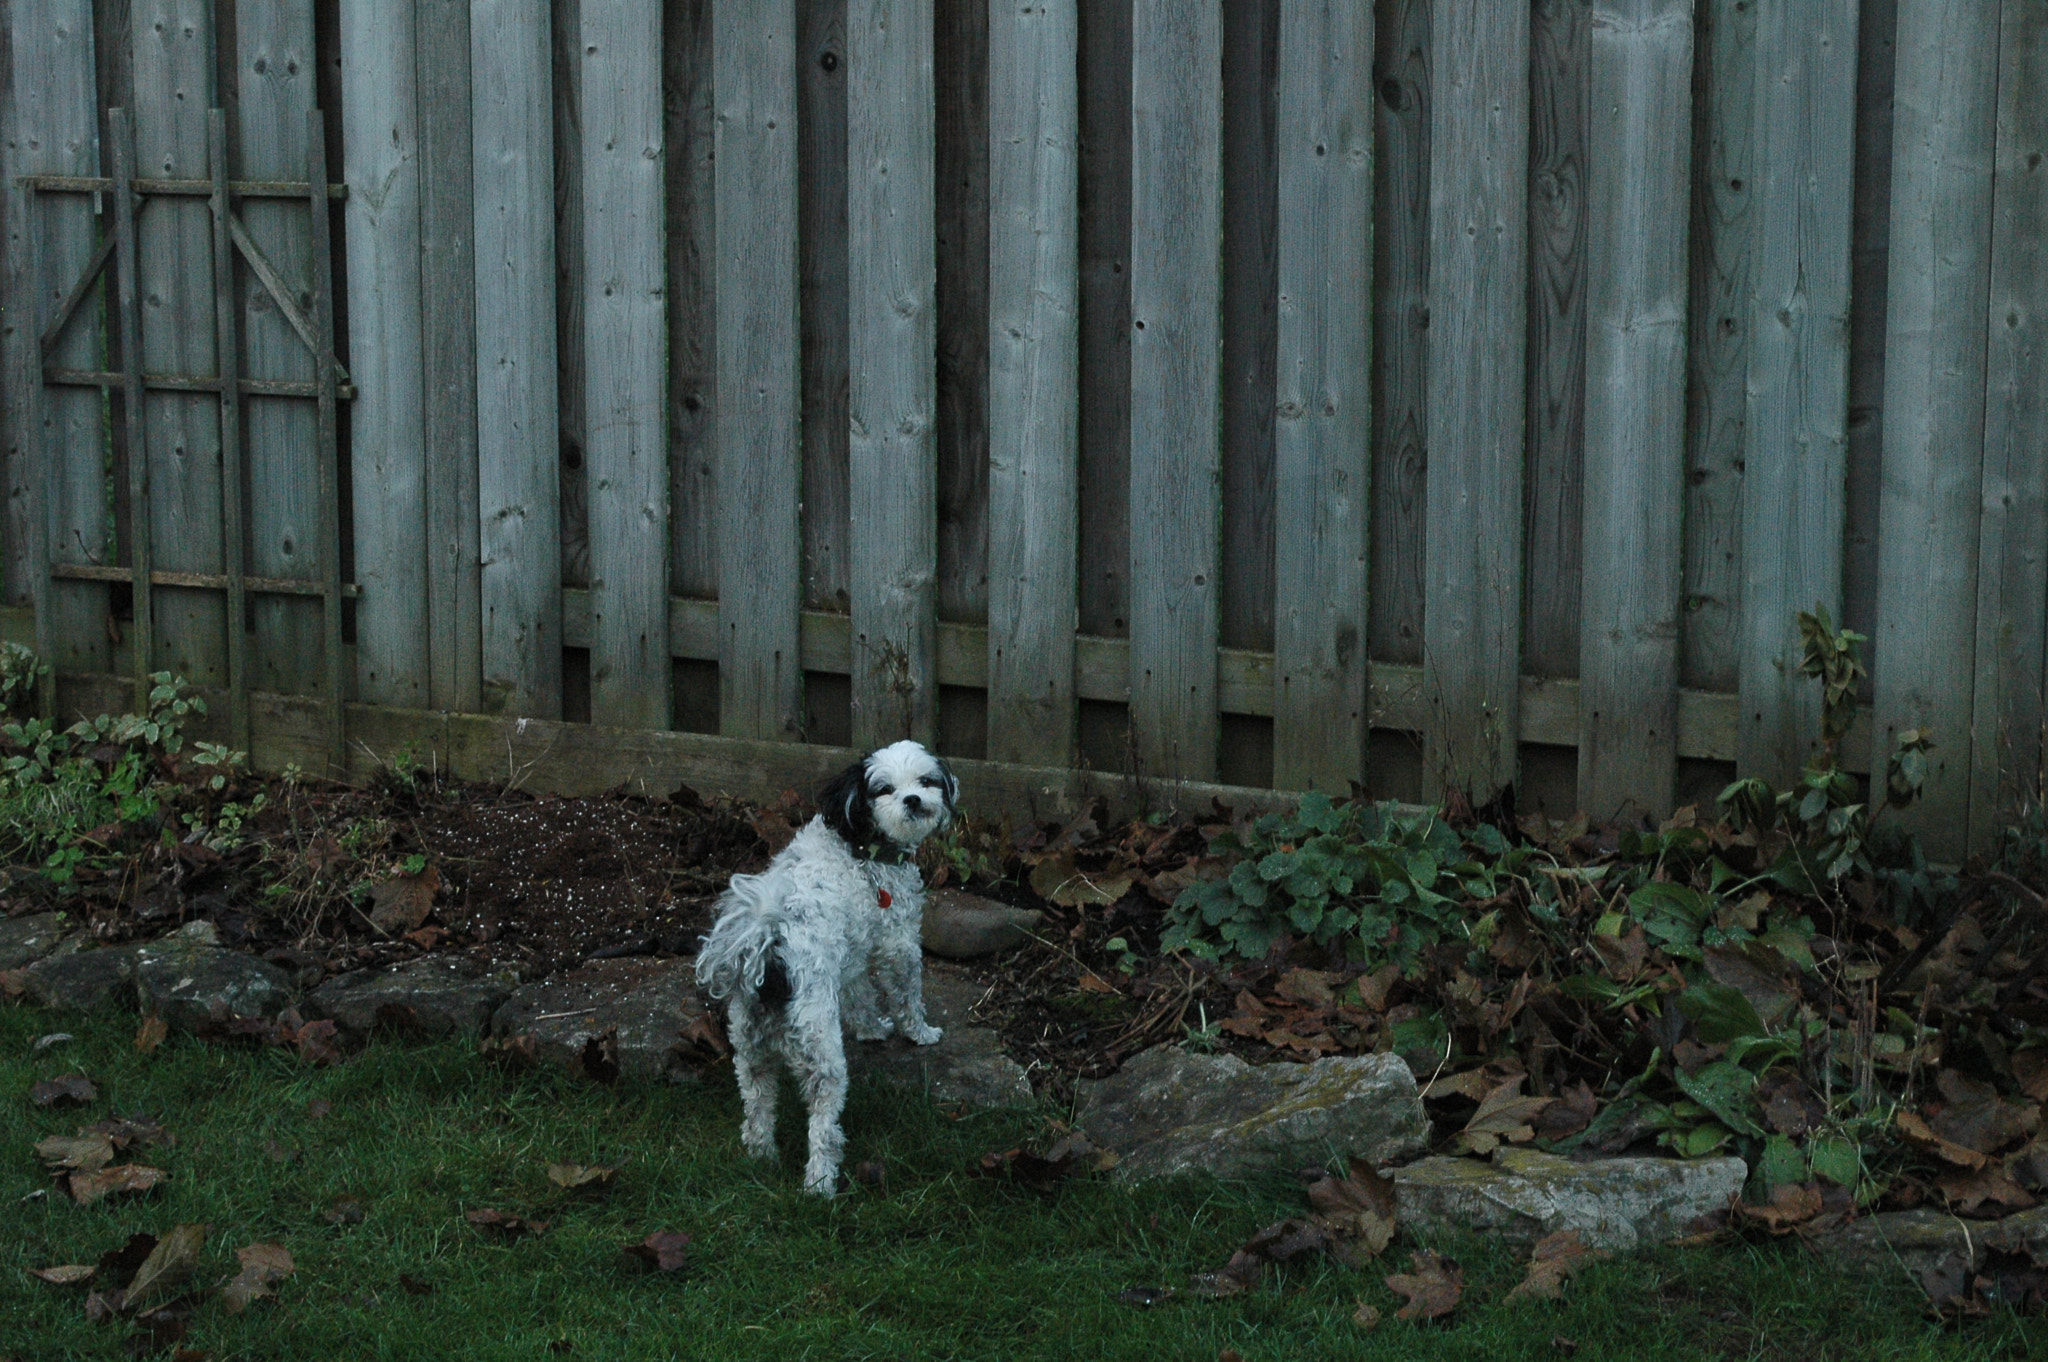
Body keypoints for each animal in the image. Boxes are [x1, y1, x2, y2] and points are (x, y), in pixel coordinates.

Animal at [696, 737, 958, 1196]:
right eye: (884, 790)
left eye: (925, 781)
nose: (912, 800)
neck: (861, 847)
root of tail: (772, 950)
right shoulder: (899, 943)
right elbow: (907, 996)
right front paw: (921, 1033)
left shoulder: (850, 957)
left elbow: (861, 1000)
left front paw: (871, 1030)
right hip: (823, 1057)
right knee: (822, 1127)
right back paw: (820, 1184)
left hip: (750, 1054)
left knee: (757, 1111)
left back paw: (763, 1159)